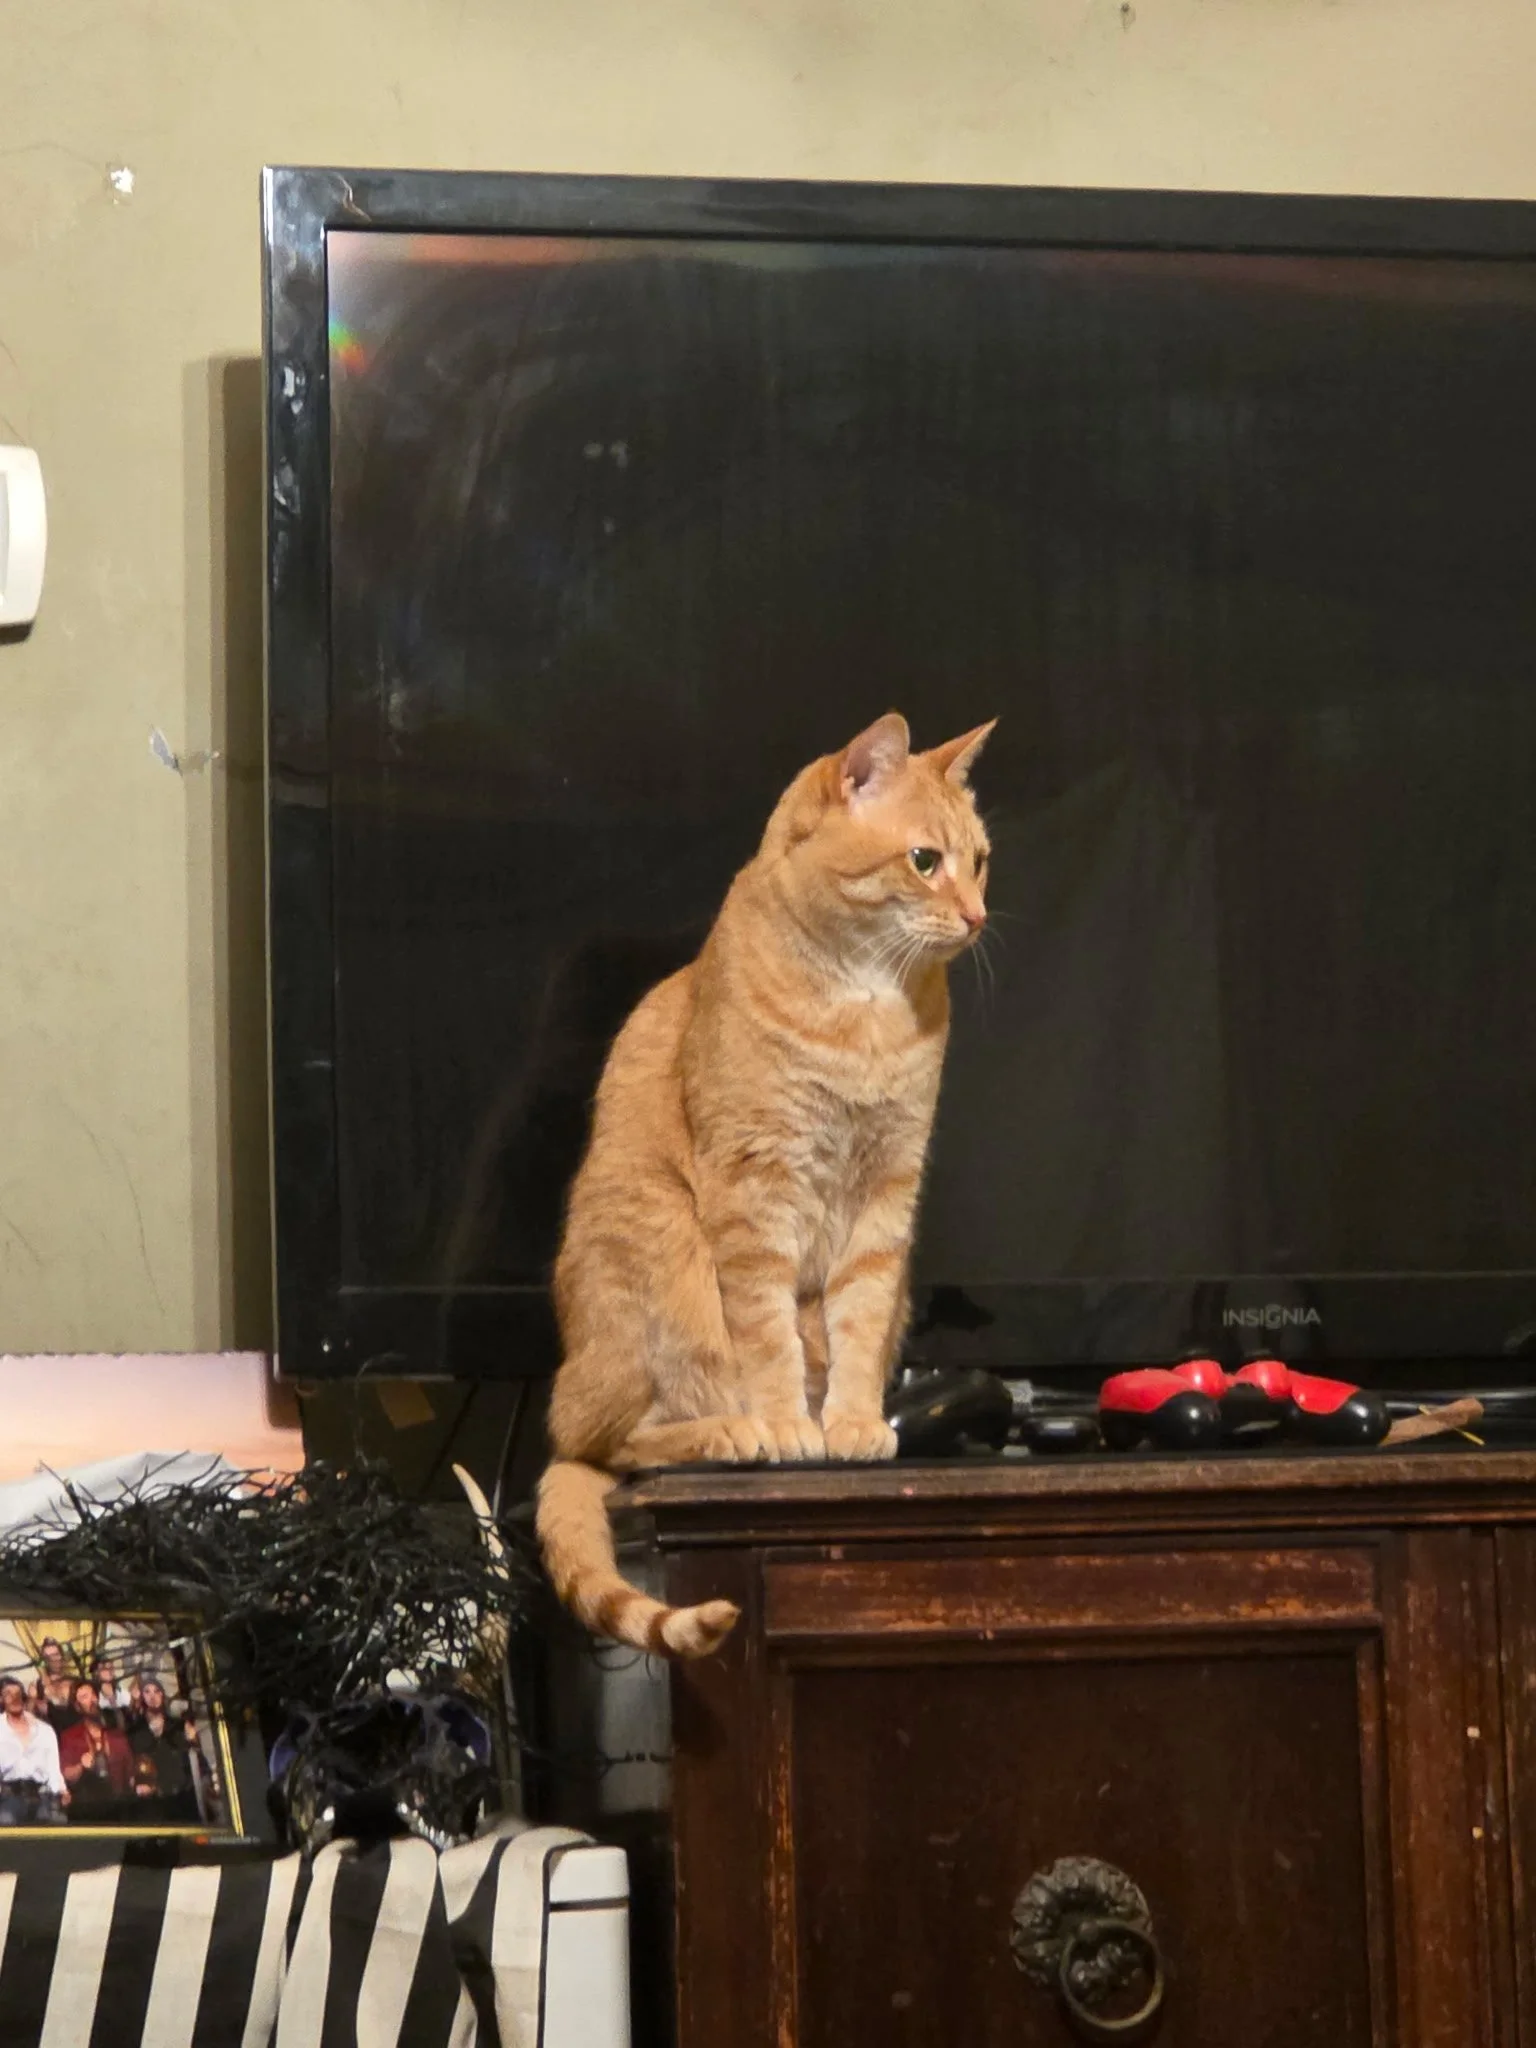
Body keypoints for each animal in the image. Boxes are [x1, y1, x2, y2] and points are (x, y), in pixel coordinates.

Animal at [535, 711, 994, 1656]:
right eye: (924, 861)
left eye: (980, 861)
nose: (976, 915)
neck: (866, 1006)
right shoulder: (755, 1192)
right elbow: (768, 1333)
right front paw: (789, 1423)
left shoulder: (887, 1197)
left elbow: (855, 1325)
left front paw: (849, 1422)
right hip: (666, 1252)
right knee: (613, 1444)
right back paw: (731, 1429)